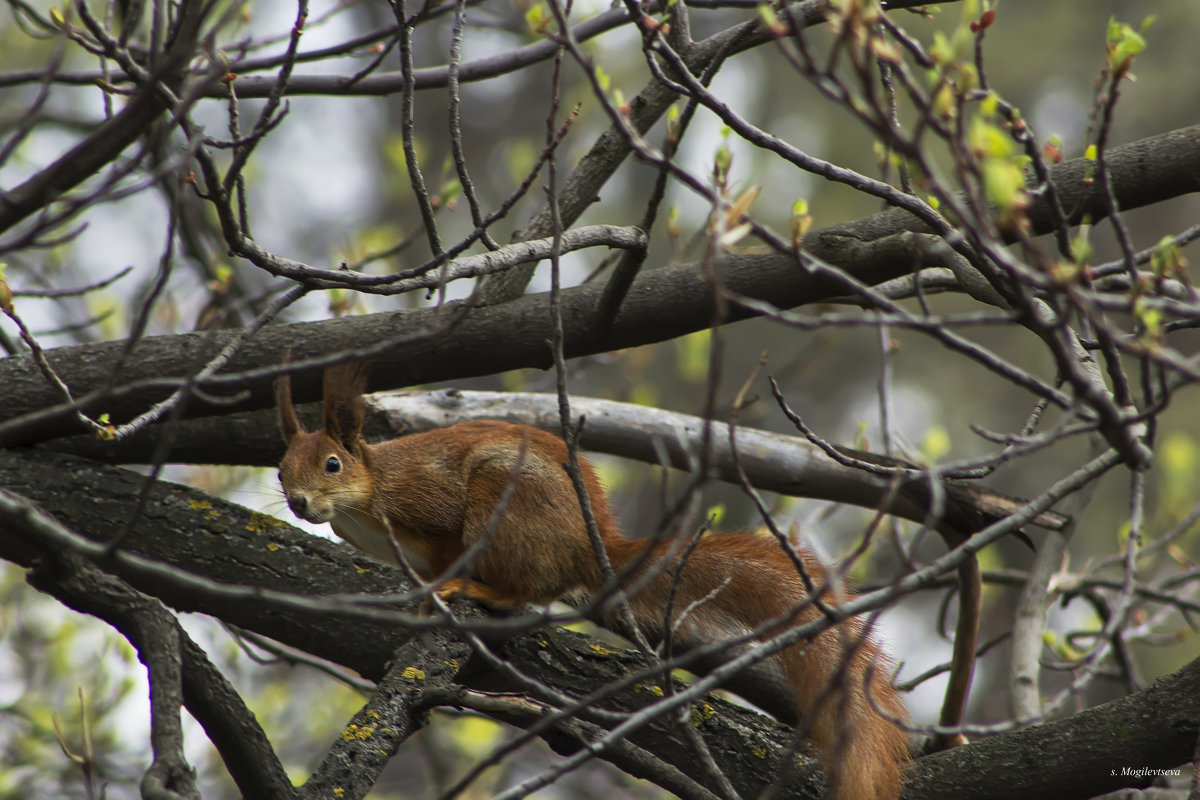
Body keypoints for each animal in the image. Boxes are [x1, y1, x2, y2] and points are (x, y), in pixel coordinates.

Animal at [274, 364, 907, 800]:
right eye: (280, 471)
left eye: (332, 464)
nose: (300, 502)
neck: (369, 494)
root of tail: (588, 549)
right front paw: (421, 607)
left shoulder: (429, 503)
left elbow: (448, 551)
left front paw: (443, 594)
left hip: (506, 506)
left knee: (523, 588)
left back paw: (481, 591)